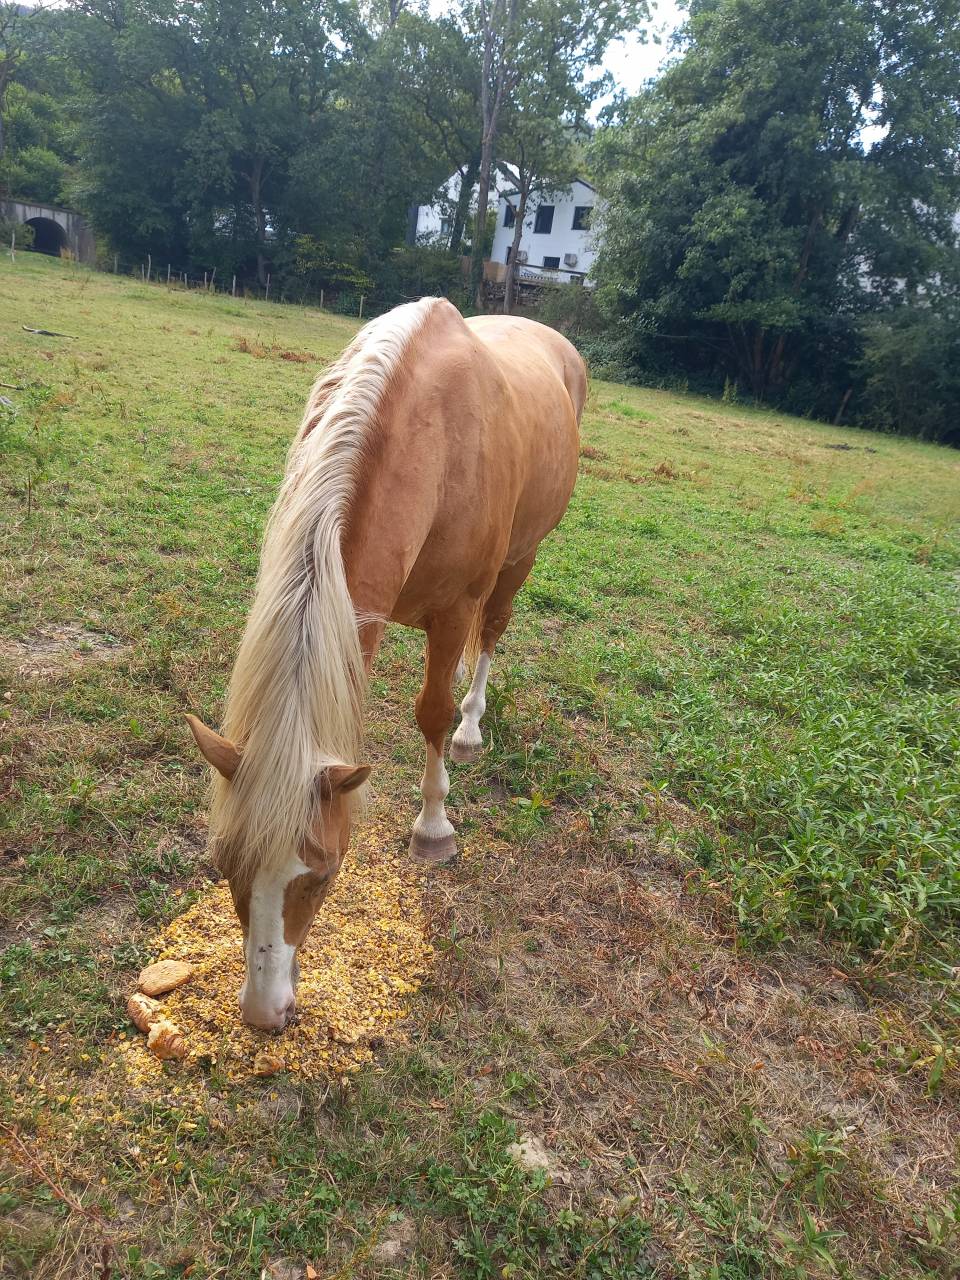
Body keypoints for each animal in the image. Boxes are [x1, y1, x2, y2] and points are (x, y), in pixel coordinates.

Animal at [186, 298, 586, 1030]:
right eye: (224, 863)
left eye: (322, 875)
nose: (264, 1014)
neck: (434, 437)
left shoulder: (454, 610)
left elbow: (429, 714)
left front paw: (433, 827)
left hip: (521, 558)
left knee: (493, 633)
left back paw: (471, 727)